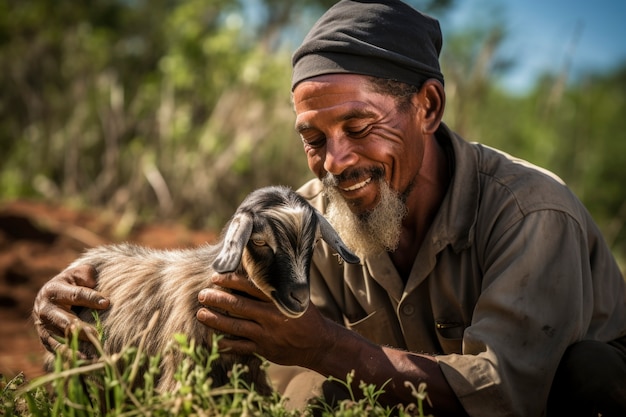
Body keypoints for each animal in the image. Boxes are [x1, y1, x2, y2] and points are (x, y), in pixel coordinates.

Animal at [46, 184, 358, 394]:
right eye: (260, 242)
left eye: (314, 242)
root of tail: (88, 255)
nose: (300, 297)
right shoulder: (183, 368)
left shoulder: (249, 373)